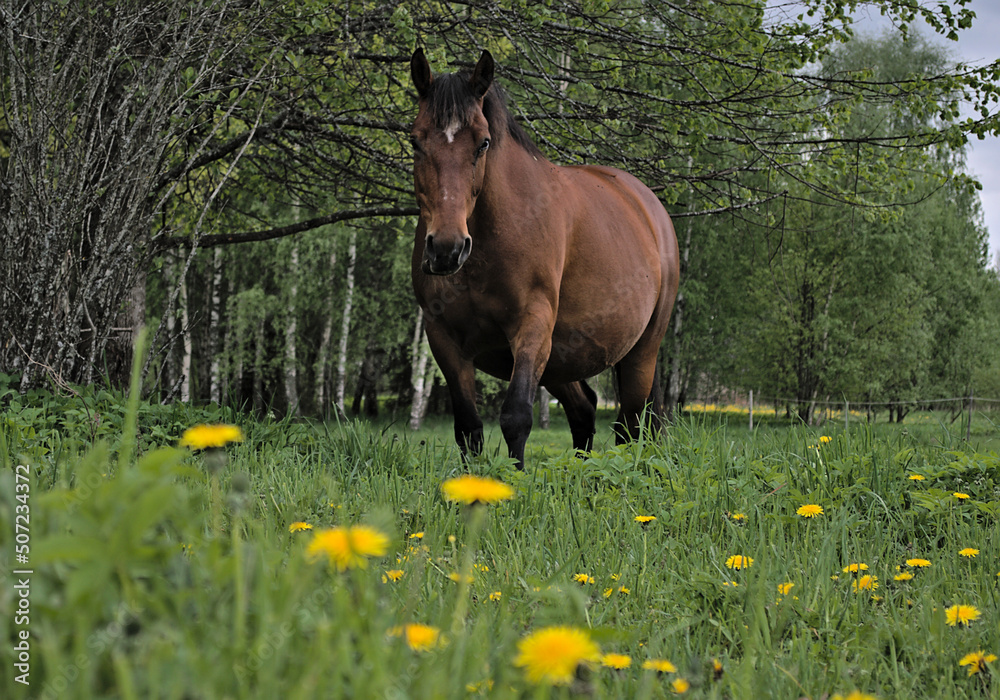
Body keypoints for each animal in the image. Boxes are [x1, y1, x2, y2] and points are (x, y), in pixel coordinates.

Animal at [408, 47, 680, 464]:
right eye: (416, 141)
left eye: (483, 143)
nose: (447, 249)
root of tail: (650, 208)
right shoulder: (444, 339)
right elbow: (468, 428)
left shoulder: (532, 325)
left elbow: (516, 417)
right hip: (563, 359)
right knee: (584, 410)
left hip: (640, 354)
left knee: (629, 427)